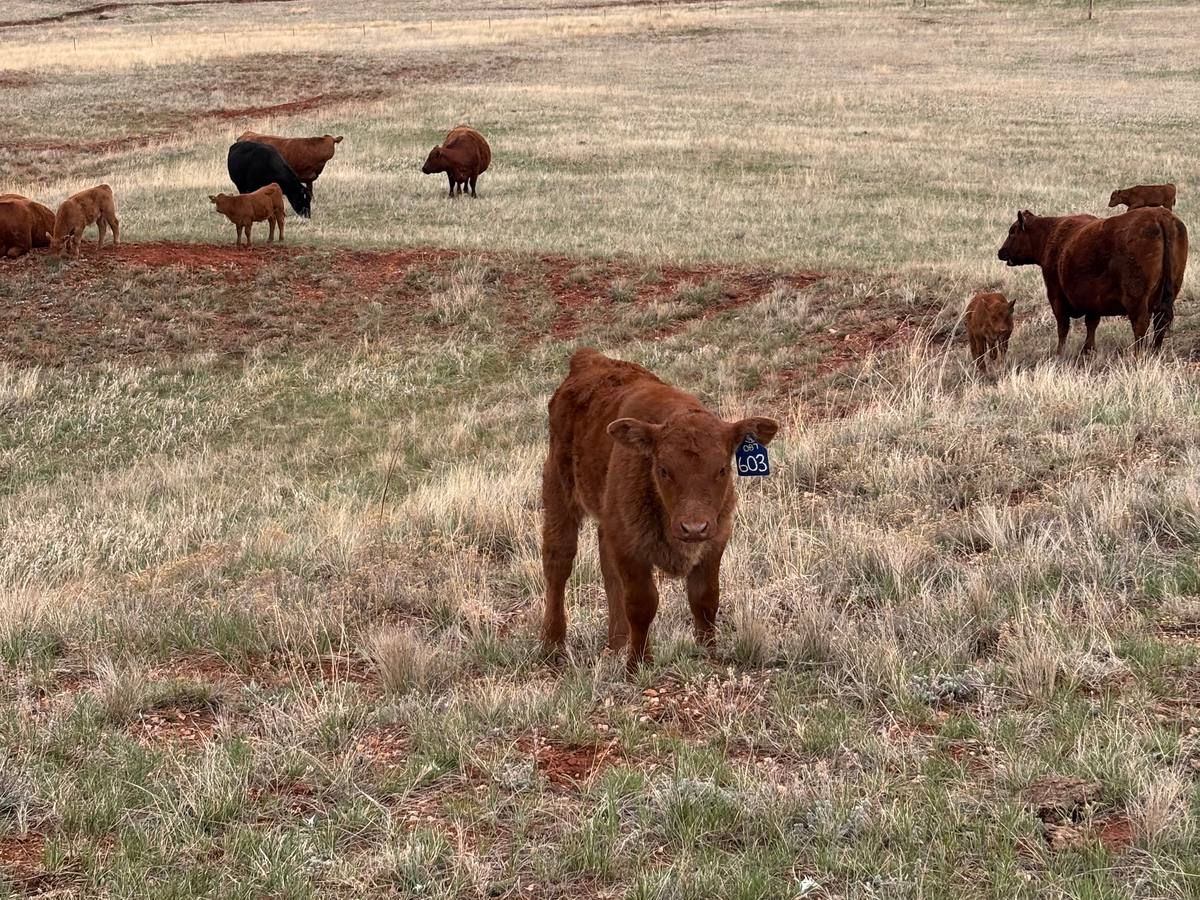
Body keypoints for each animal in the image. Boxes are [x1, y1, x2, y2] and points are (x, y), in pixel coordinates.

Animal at [541, 348, 779, 673]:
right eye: (663, 469)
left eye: (722, 469)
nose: (694, 527)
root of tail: (587, 359)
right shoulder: (630, 546)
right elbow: (642, 604)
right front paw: (637, 664)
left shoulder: (716, 540)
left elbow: (705, 598)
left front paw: (708, 653)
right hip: (558, 490)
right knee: (558, 563)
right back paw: (553, 644)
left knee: (606, 566)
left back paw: (616, 643)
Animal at [997, 207, 1187, 355]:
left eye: (1012, 232)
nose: (1000, 252)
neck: (1051, 234)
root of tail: (1160, 216)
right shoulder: (1094, 301)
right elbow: (1092, 324)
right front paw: (1088, 350)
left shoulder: (1056, 296)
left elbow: (1063, 326)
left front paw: (1060, 352)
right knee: (1160, 323)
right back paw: (1155, 352)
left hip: (1136, 300)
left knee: (1141, 325)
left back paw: (1138, 355)